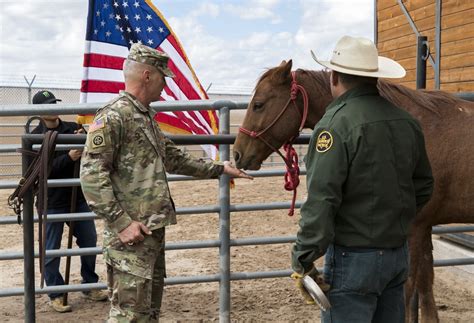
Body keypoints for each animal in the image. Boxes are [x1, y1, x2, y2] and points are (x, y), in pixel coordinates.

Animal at [234, 60, 474, 323]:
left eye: (258, 104)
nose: (237, 154)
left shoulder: (415, 228)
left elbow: (411, 287)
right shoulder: (425, 227)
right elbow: (425, 284)